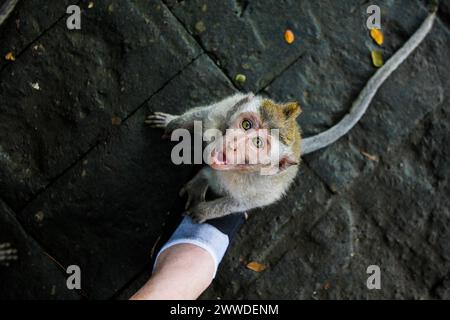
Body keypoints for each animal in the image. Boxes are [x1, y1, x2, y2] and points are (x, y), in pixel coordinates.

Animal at [147, 11, 436, 224]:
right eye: (246, 124)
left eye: (258, 144)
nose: (233, 144)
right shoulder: (222, 111)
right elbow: (200, 116)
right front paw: (172, 124)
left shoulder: (260, 188)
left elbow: (241, 203)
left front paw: (204, 212)